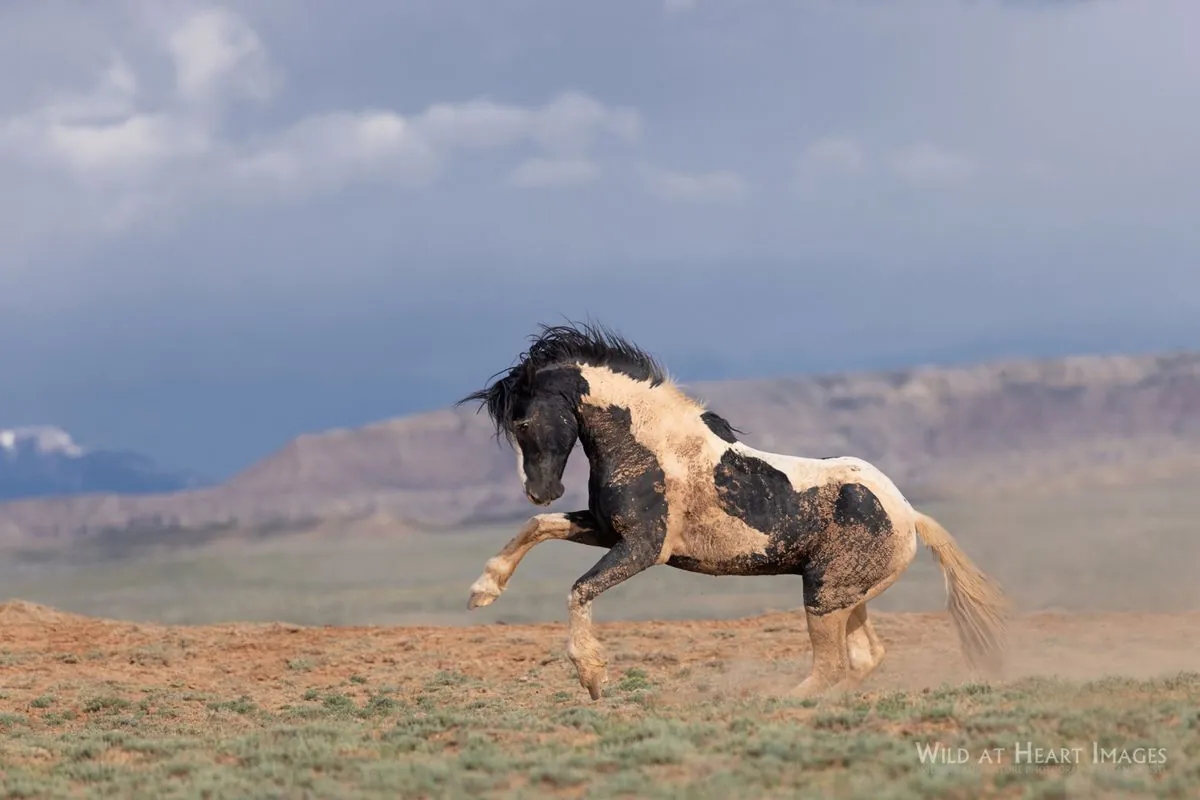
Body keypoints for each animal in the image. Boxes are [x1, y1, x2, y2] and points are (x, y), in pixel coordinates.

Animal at [453, 319, 1008, 700]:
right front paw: (482, 591)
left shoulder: (643, 548)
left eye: (523, 422)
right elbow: (538, 527)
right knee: (863, 657)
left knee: (834, 664)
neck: (651, 445)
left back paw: (780, 701)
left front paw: (592, 677)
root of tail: (910, 516)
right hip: (846, 596)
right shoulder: (609, 531)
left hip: (824, 596)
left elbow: (579, 589)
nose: (540, 489)